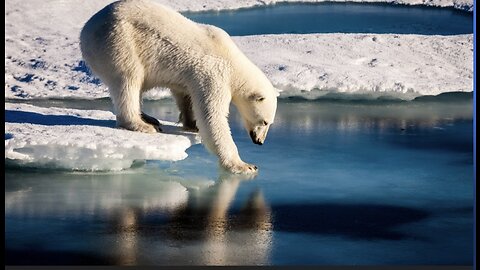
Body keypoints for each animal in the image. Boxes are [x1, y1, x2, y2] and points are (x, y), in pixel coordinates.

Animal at [79, 0, 278, 173]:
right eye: (264, 122)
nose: (259, 141)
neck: (232, 60)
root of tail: (86, 30)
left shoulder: (191, 76)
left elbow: (185, 95)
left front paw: (192, 124)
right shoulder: (214, 74)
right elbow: (213, 117)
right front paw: (244, 165)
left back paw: (149, 118)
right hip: (119, 42)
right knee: (128, 80)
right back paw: (142, 124)